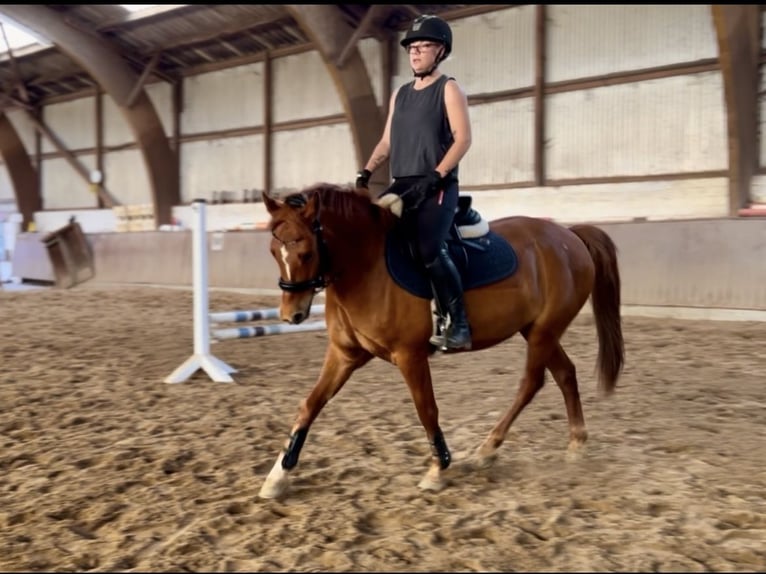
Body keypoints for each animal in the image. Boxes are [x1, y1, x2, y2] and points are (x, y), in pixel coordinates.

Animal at [258, 183, 624, 500]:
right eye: (274, 251)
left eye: (306, 252)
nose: (290, 315)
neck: (368, 266)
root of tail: (569, 235)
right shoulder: (344, 354)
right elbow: (310, 404)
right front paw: (277, 475)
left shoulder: (410, 355)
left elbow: (427, 409)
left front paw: (437, 469)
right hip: (536, 330)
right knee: (565, 373)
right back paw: (575, 443)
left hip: (543, 332)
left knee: (531, 383)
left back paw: (488, 448)